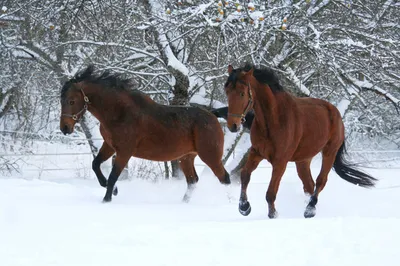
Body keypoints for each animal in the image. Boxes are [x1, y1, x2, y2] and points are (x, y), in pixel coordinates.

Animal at [57, 65, 230, 203]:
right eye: (61, 100)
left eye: (72, 101)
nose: (64, 128)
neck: (120, 113)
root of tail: (213, 115)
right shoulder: (109, 146)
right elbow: (96, 165)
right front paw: (112, 189)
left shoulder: (124, 152)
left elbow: (113, 176)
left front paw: (107, 199)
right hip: (186, 158)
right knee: (193, 181)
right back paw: (184, 203)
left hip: (210, 156)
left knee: (225, 178)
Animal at [223, 64, 376, 218]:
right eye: (227, 92)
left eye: (242, 93)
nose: (233, 125)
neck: (273, 120)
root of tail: (336, 113)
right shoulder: (256, 153)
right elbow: (244, 175)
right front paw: (244, 207)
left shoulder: (280, 162)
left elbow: (270, 192)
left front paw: (273, 214)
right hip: (303, 160)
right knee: (309, 184)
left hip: (329, 152)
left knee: (320, 181)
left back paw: (310, 209)